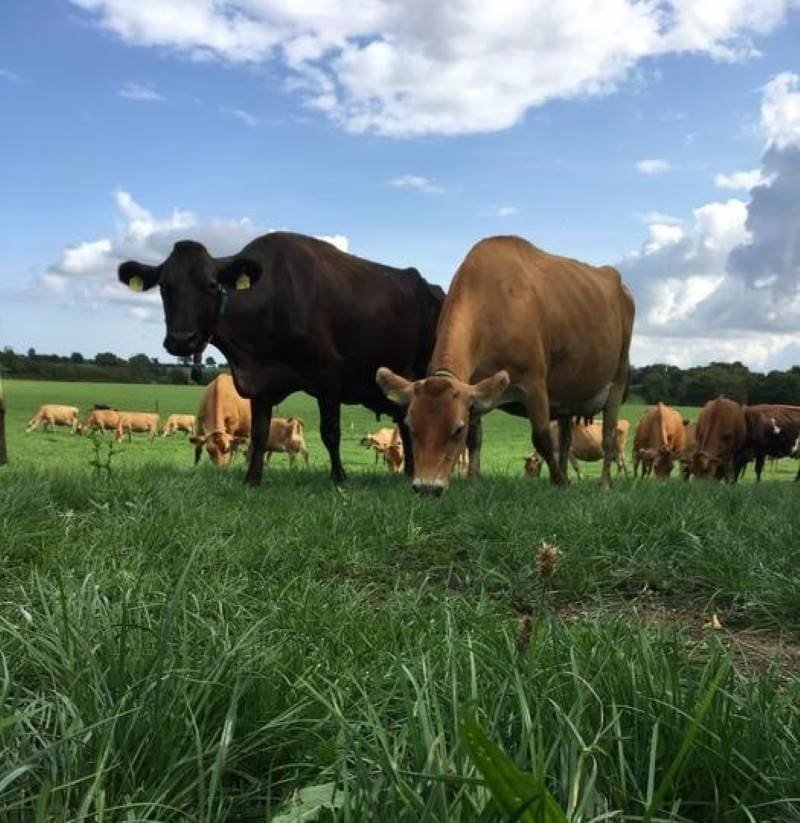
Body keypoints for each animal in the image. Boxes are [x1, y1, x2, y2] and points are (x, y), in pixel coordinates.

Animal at [118, 232, 444, 485]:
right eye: (164, 286)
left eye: (211, 285)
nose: (182, 339)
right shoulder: (258, 383)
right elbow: (259, 434)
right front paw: (252, 479)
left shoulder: (329, 374)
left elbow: (331, 432)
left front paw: (338, 477)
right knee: (406, 424)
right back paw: (410, 472)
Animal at [376, 235, 634, 494]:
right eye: (410, 426)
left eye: (457, 429)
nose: (427, 487)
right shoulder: (475, 389)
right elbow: (475, 438)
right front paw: (473, 479)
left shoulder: (534, 383)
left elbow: (541, 438)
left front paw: (560, 481)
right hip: (570, 394)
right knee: (566, 438)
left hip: (618, 378)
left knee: (608, 436)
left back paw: (603, 484)